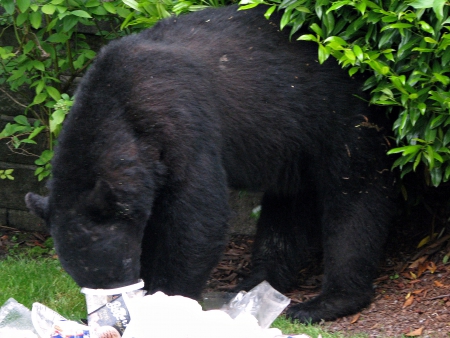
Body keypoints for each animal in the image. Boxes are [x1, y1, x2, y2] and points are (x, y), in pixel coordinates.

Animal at [25, 4, 394, 322]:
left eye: (120, 263)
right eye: (83, 278)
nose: (117, 299)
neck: (118, 100)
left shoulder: (182, 123)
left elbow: (197, 219)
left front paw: (169, 301)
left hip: (340, 114)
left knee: (352, 196)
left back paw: (326, 301)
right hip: (293, 139)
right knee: (288, 205)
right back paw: (254, 284)